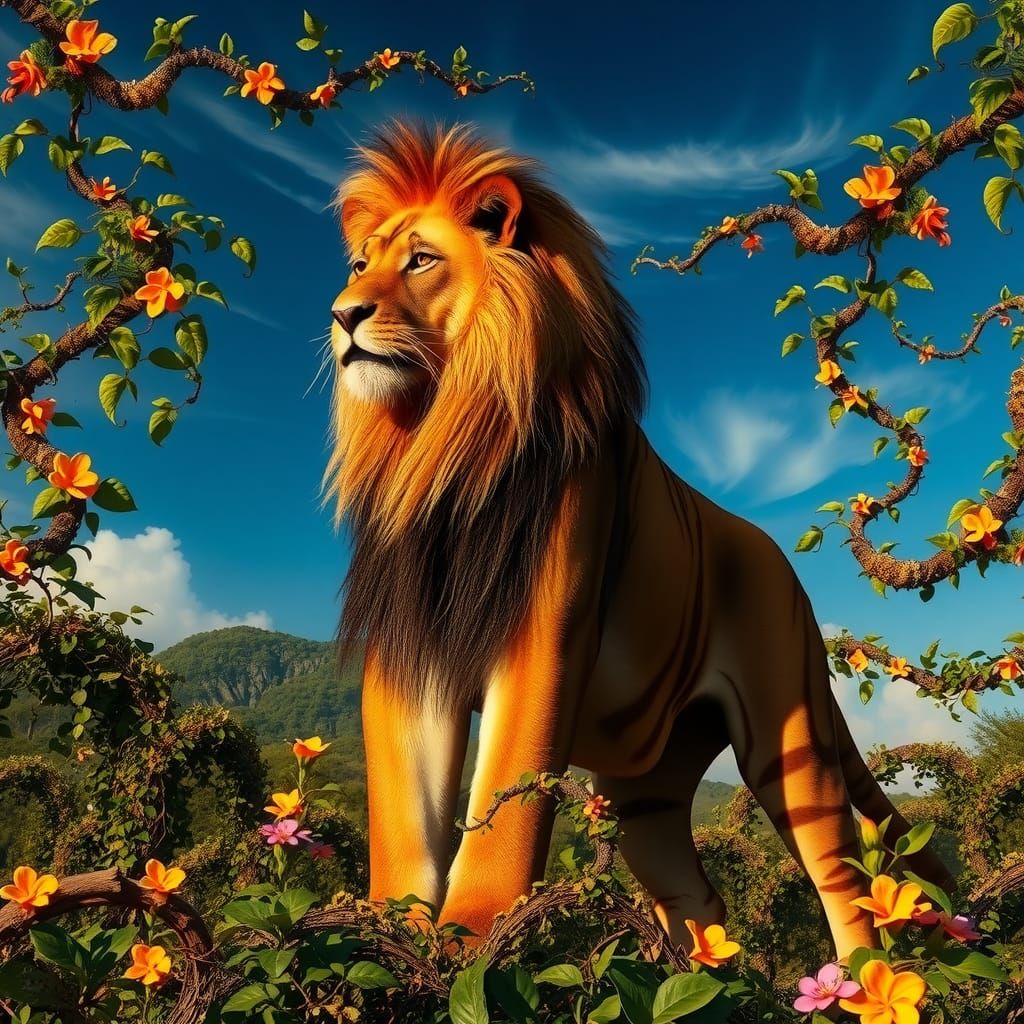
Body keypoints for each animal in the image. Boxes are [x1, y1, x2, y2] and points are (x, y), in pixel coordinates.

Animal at [323, 121, 952, 959]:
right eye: (361, 265)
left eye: (421, 260)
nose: (342, 314)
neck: (440, 447)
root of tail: (780, 564)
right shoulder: (409, 648)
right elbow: (402, 818)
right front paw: (385, 925)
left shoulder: (544, 636)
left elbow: (508, 808)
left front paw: (471, 932)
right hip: (647, 790)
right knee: (696, 894)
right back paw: (703, 972)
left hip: (790, 742)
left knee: (844, 884)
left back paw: (858, 979)